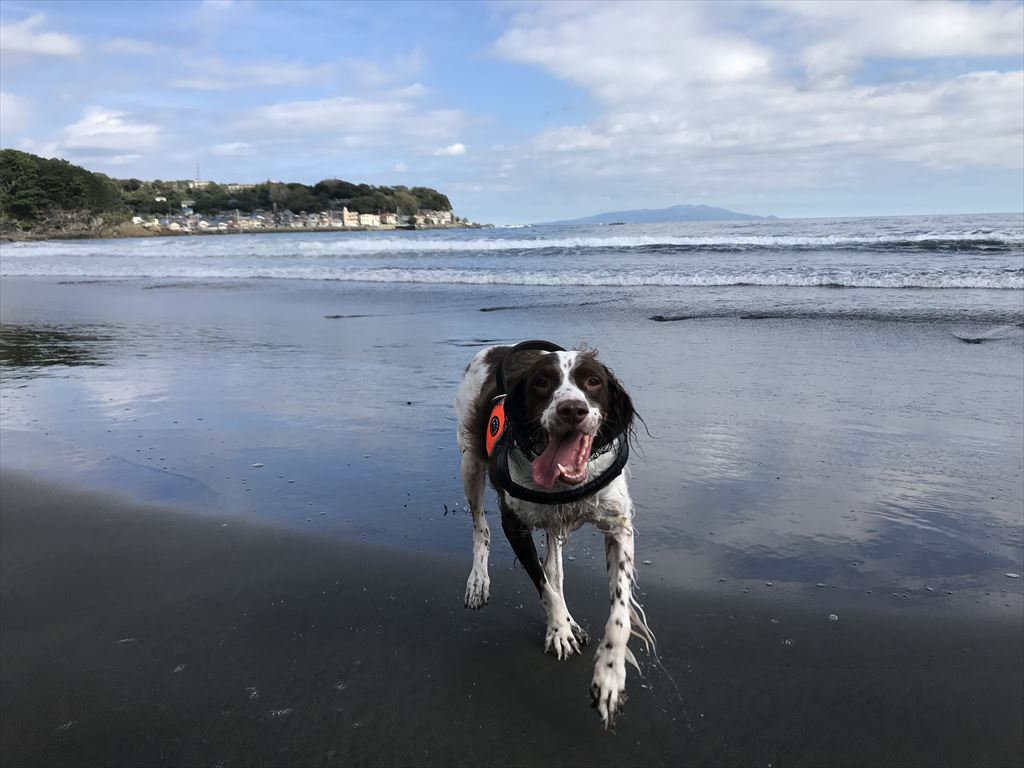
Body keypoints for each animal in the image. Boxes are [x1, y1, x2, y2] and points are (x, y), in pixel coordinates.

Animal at [454, 342, 651, 729]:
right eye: (542, 383)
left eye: (593, 381)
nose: (572, 409)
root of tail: (498, 348)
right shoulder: (513, 524)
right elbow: (543, 587)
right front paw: (559, 630)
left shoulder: (618, 527)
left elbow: (618, 612)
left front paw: (609, 675)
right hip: (470, 463)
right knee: (480, 528)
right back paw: (478, 581)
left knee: (554, 568)